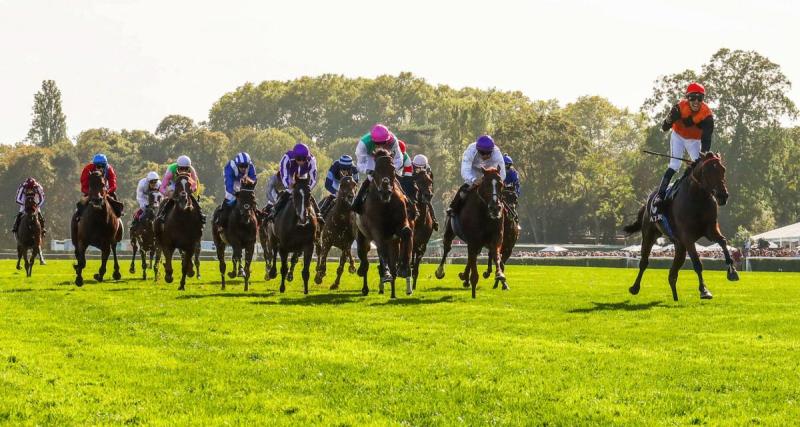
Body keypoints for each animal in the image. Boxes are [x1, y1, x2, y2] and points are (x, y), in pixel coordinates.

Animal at [358, 149, 416, 300]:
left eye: (392, 169)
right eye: (376, 170)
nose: (386, 191)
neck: (386, 204)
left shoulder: (401, 224)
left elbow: (407, 232)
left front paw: (404, 267)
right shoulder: (376, 229)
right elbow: (381, 248)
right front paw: (386, 274)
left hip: (393, 241)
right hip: (362, 235)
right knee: (365, 258)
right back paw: (366, 284)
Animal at [434, 167, 504, 298]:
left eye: (501, 184)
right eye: (486, 184)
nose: (495, 208)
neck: (484, 214)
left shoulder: (496, 237)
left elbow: (496, 254)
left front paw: (500, 274)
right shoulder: (473, 239)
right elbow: (473, 267)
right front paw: (473, 289)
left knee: (472, 256)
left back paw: (465, 277)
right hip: (450, 231)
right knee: (447, 247)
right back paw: (441, 271)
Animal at [624, 153, 736, 300]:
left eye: (723, 169)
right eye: (707, 172)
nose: (723, 195)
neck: (697, 198)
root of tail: (648, 200)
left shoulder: (710, 230)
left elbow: (723, 241)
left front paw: (732, 271)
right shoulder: (687, 237)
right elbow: (697, 263)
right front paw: (704, 290)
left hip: (678, 244)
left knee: (673, 272)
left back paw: (675, 296)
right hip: (650, 234)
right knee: (644, 262)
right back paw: (634, 287)